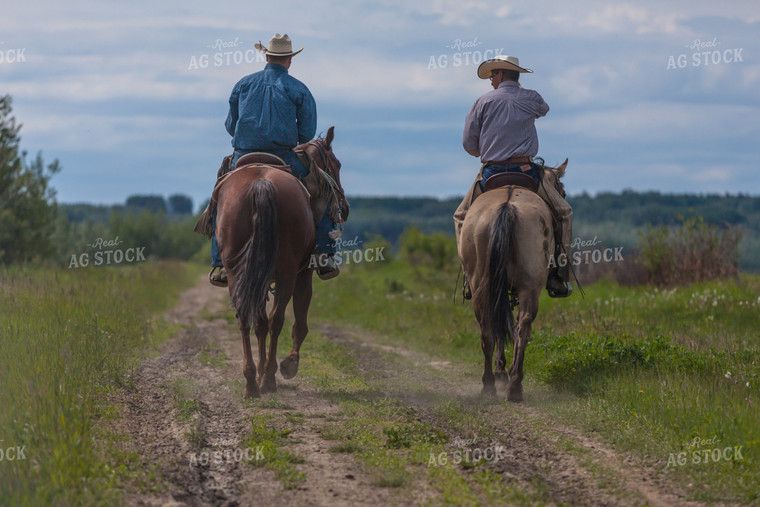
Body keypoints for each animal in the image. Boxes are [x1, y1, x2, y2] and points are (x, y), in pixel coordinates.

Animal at [215, 126, 348, 396]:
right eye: (337, 164)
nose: (345, 206)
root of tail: (261, 183)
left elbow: (260, 324)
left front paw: (263, 369)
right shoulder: (303, 274)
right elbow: (299, 323)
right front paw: (288, 364)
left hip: (238, 271)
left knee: (247, 318)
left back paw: (252, 382)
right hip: (288, 272)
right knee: (278, 320)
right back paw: (267, 379)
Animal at [454, 161, 568, 402]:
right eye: (561, 192)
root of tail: (507, 206)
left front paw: (501, 371)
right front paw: (502, 371)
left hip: (484, 285)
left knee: (491, 329)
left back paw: (496, 384)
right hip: (528, 286)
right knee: (521, 327)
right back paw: (512, 383)